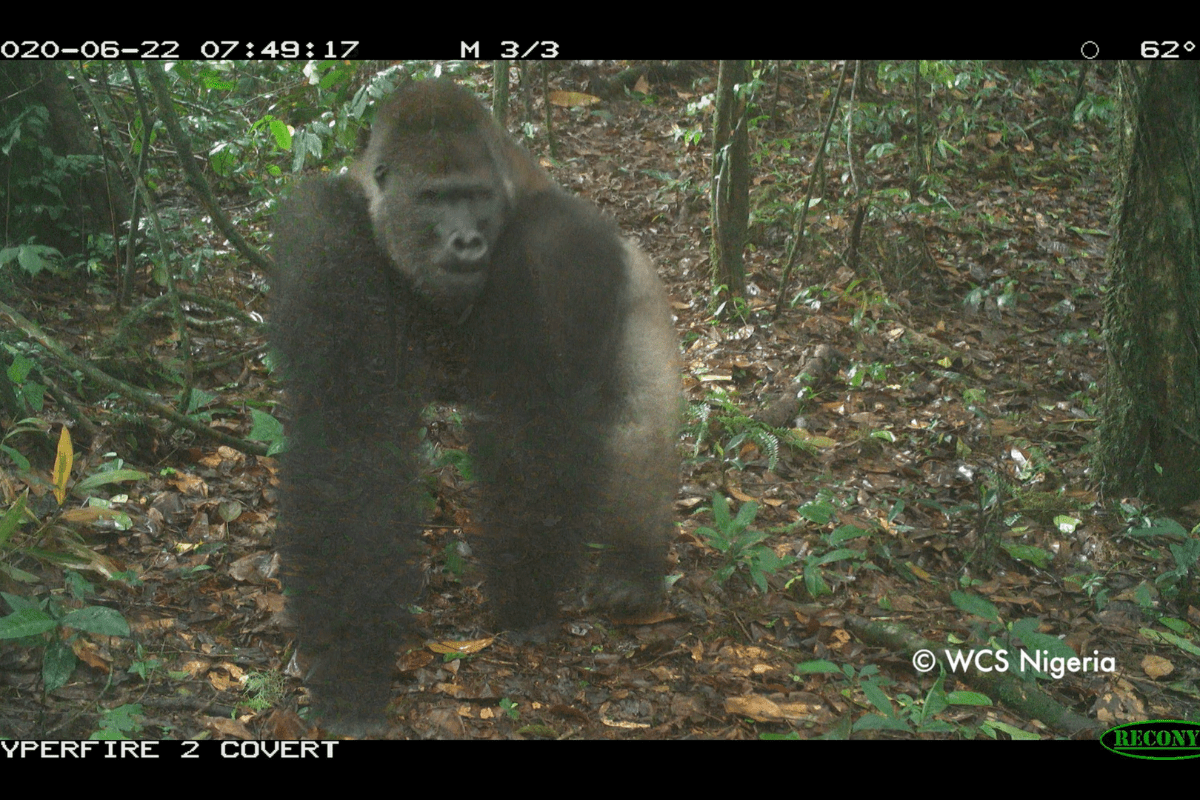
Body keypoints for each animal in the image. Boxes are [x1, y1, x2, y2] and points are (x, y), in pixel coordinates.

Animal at [270, 79, 678, 735]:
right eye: (434, 199)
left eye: (476, 198)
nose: (465, 240)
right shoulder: (325, 234)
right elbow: (351, 438)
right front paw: (349, 663)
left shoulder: (556, 245)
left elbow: (535, 427)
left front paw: (525, 602)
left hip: (645, 293)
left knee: (641, 426)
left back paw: (631, 572)